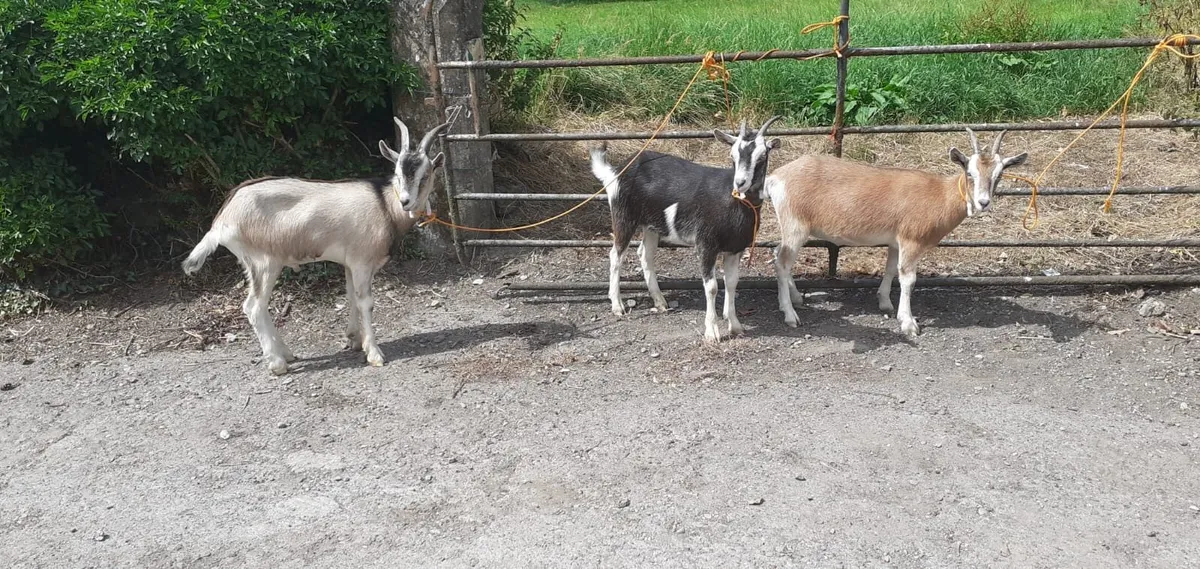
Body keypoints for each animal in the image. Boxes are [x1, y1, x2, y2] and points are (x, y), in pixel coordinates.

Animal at [181, 116, 449, 374]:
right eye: (397, 173)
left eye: (425, 175)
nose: (406, 202)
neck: (384, 205)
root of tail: (222, 219)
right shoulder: (362, 262)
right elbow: (366, 302)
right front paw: (374, 354)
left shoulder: (350, 263)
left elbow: (351, 296)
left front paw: (354, 340)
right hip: (263, 262)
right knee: (254, 306)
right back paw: (277, 364)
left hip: (258, 264)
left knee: (260, 306)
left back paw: (286, 353)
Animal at [589, 116, 781, 342]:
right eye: (732, 155)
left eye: (762, 156)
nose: (740, 183)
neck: (733, 200)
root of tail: (618, 171)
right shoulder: (706, 243)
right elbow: (712, 287)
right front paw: (712, 332)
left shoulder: (736, 247)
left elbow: (732, 282)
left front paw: (735, 325)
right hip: (623, 215)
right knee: (615, 255)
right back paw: (617, 305)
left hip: (651, 225)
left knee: (645, 254)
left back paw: (660, 301)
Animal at [766, 128, 1027, 336]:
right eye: (970, 173)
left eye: (999, 175)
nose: (983, 203)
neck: (940, 195)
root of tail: (776, 177)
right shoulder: (911, 240)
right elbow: (908, 278)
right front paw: (909, 323)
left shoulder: (896, 241)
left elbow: (891, 269)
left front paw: (885, 303)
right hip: (795, 225)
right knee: (782, 262)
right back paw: (790, 314)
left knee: (779, 253)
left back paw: (795, 299)